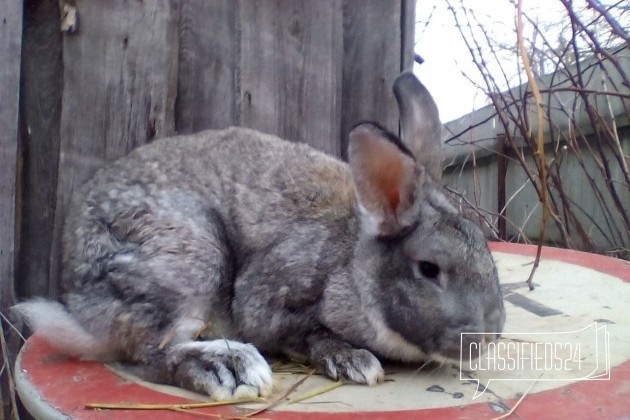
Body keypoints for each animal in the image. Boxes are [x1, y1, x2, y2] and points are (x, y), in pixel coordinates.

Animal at [13, 72, 508, 400]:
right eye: (429, 268)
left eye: (486, 251)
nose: (487, 336)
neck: (353, 260)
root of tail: (77, 287)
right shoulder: (271, 300)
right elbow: (306, 333)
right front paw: (355, 362)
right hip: (191, 261)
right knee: (149, 351)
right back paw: (228, 368)